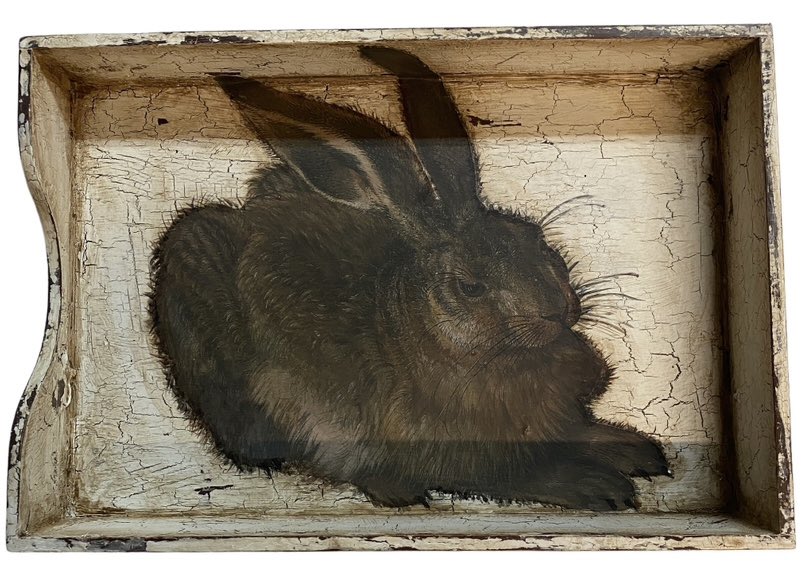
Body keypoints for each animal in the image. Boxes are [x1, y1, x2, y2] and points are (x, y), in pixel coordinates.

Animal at [149, 46, 670, 511]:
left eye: (537, 240)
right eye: (470, 286)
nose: (559, 311)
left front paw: (635, 448)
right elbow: (515, 473)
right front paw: (597, 485)